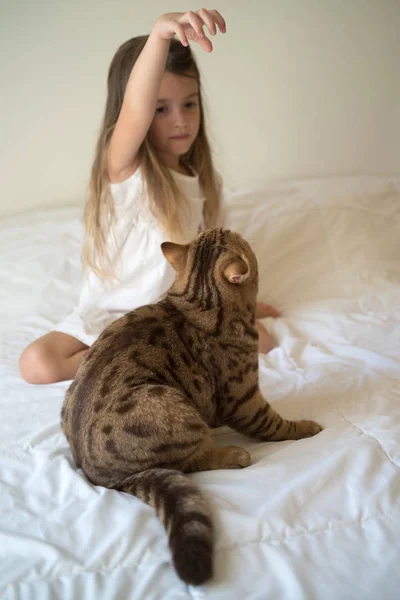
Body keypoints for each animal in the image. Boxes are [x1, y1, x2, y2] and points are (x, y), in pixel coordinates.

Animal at [61, 229, 322, 584]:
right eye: (240, 238)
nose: (238, 230)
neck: (198, 301)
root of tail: (99, 478)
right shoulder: (243, 398)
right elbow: (274, 424)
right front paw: (306, 427)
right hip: (172, 405)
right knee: (191, 460)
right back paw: (231, 454)